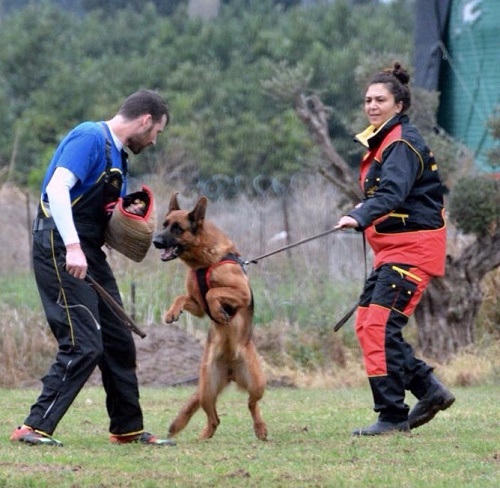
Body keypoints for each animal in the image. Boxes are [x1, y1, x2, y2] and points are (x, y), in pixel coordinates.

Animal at [153, 193, 268, 440]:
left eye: (177, 228)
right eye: (164, 224)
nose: (155, 241)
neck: (204, 262)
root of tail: (231, 370)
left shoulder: (241, 293)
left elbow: (213, 292)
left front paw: (218, 312)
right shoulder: (196, 305)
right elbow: (182, 297)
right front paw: (171, 313)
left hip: (258, 383)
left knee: (252, 404)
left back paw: (260, 428)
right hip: (207, 387)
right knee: (214, 418)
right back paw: (203, 437)